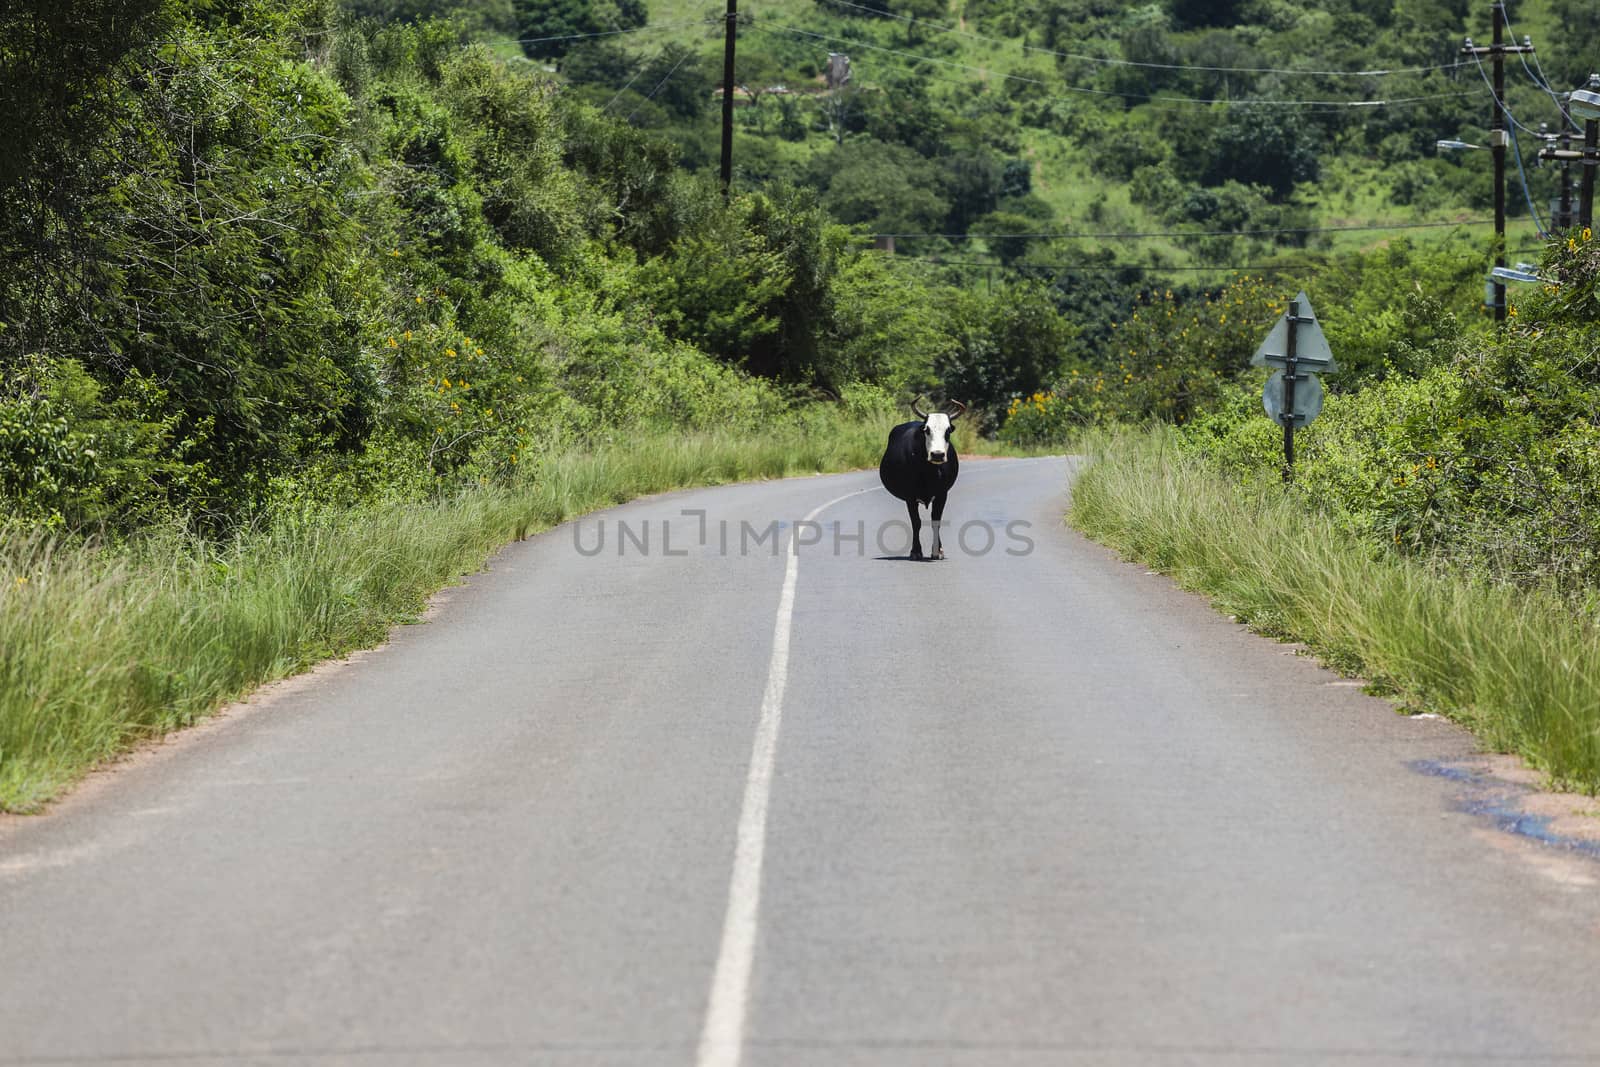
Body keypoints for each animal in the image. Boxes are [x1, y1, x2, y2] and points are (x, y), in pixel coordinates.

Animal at [876, 398, 960, 563]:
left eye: (948, 431)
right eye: (927, 430)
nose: (937, 455)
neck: (928, 471)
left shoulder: (942, 494)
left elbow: (936, 520)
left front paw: (938, 551)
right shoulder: (910, 496)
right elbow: (916, 522)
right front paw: (915, 551)